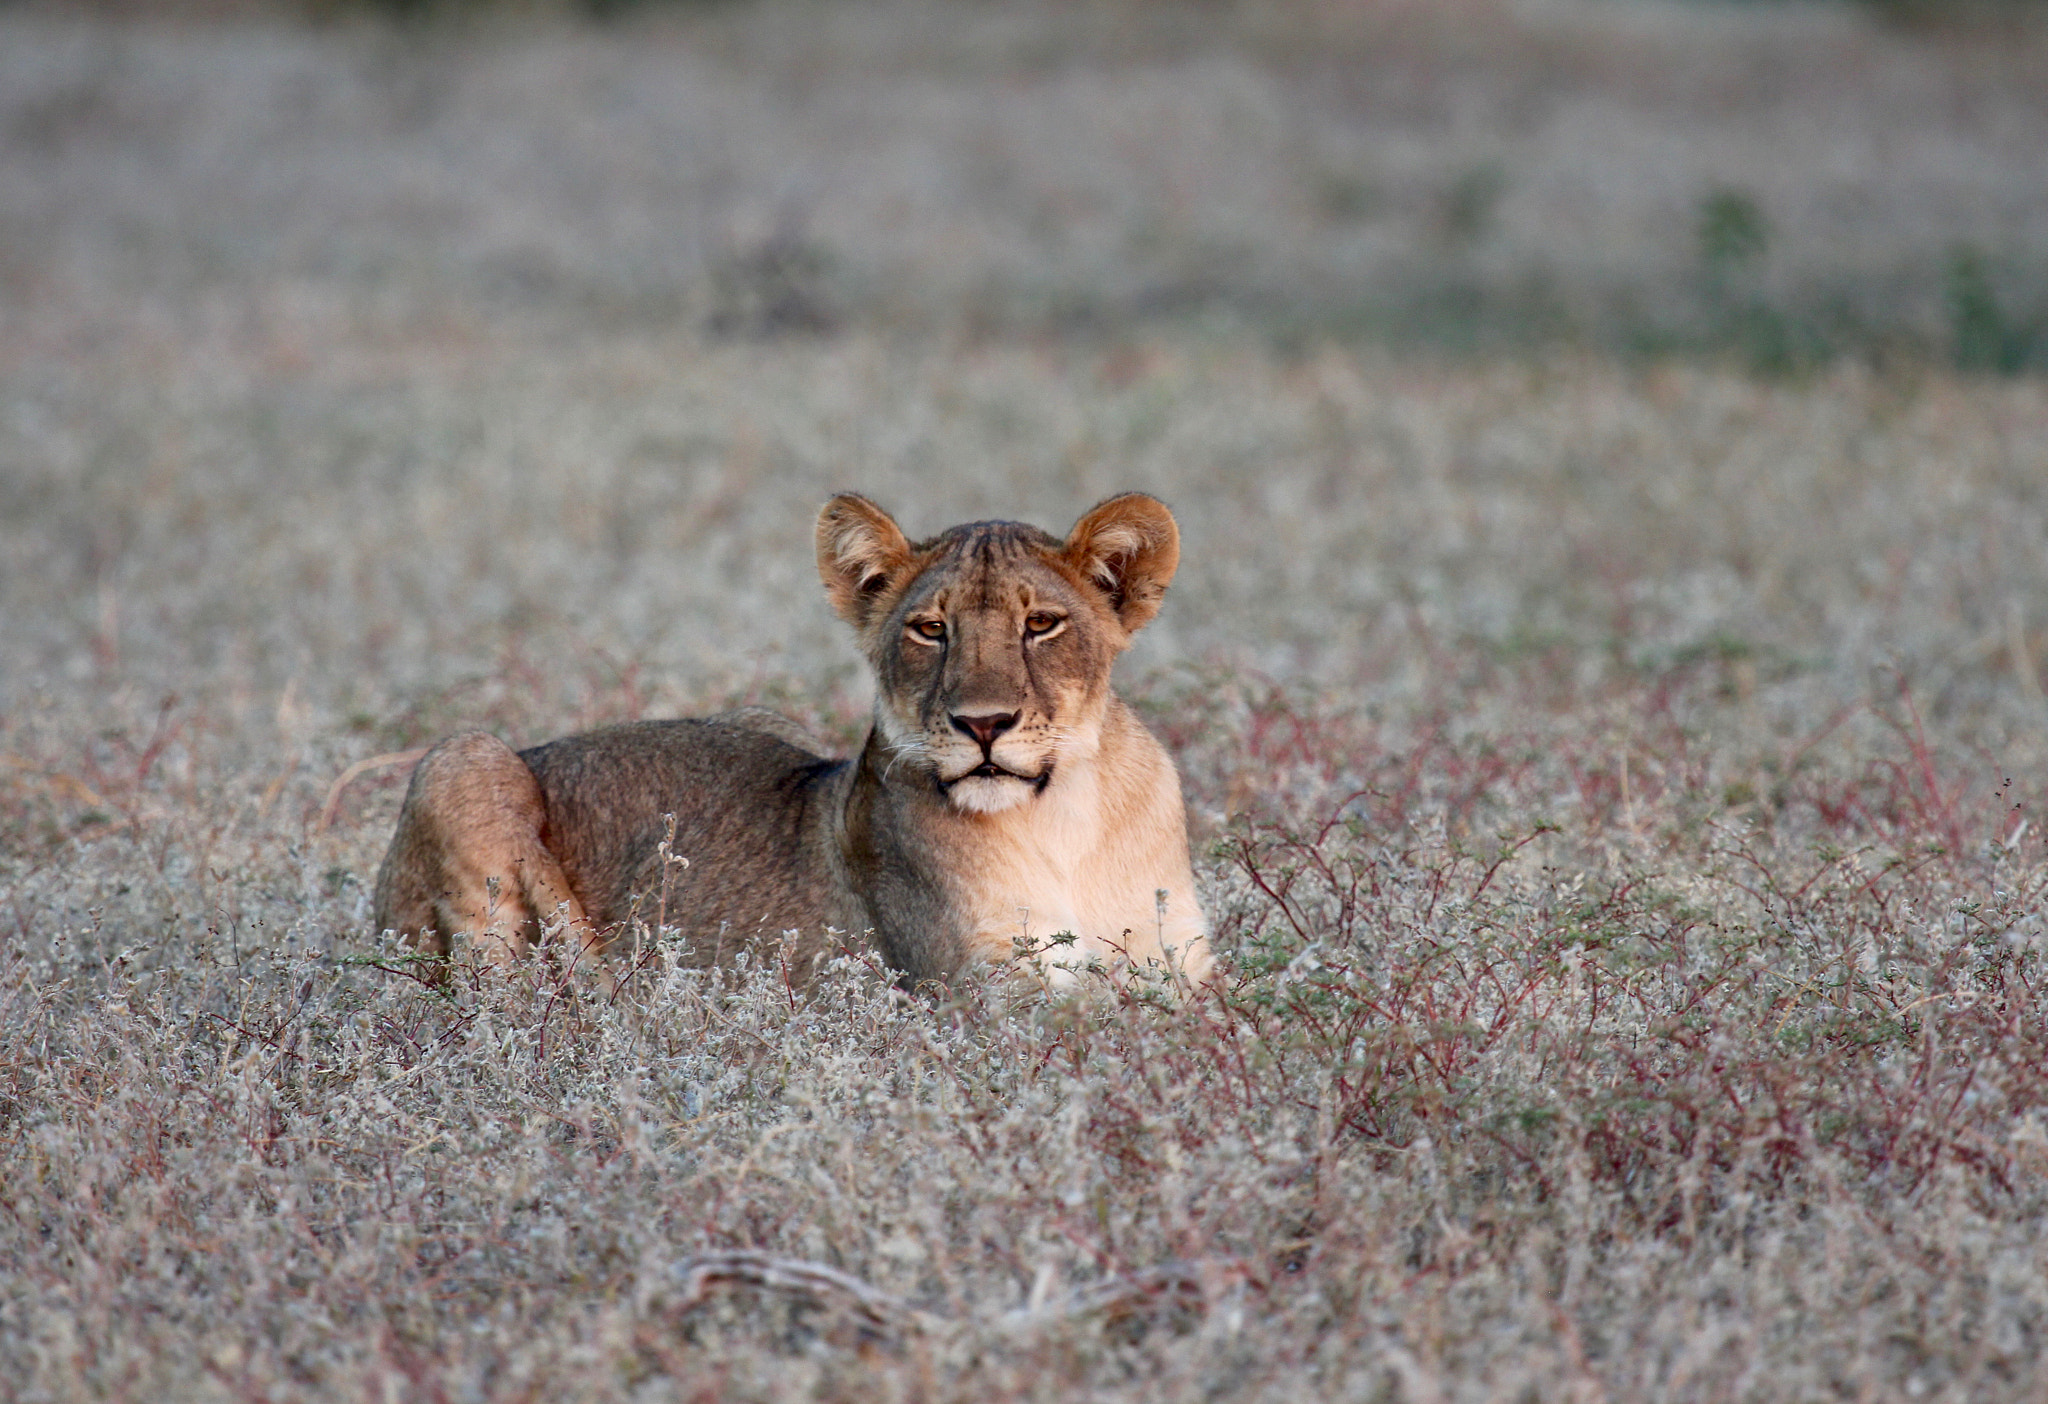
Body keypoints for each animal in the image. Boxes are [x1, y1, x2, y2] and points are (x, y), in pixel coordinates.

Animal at [371, 492, 1213, 993]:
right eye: (929, 629)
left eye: (1041, 624)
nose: (982, 724)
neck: (1065, 816)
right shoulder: (979, 992)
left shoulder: (1184, 972)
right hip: (462, 759)